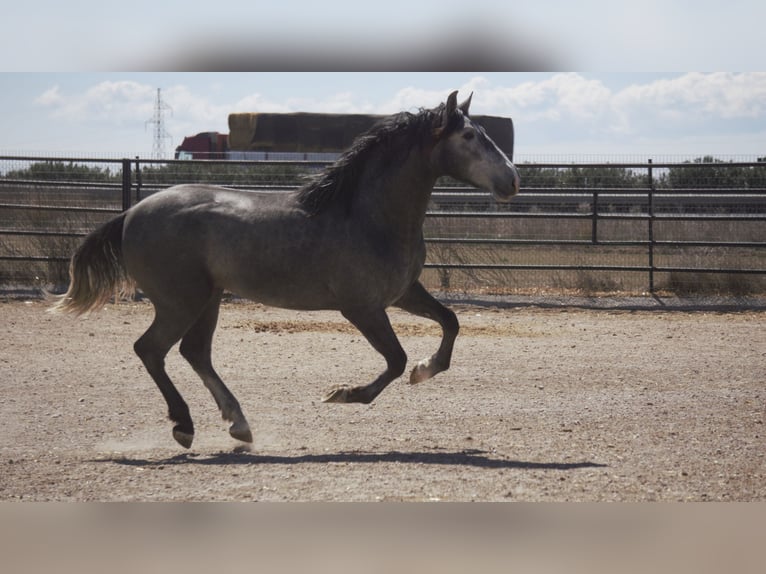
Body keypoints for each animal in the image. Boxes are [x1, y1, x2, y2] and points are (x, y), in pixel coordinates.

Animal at [51, 91, 520, 450]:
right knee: (151, 349)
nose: (512, 180)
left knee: (193, 352)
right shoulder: (362, 308)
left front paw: (425, 370)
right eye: (469, 135)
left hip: (207, 298)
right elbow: (394, 360)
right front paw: (343, 394)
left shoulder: (404, 292)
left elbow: (450, 323)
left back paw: (238, 425)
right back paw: (185, 426)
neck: (367, 214)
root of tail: (131, 214)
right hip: (178, 302)